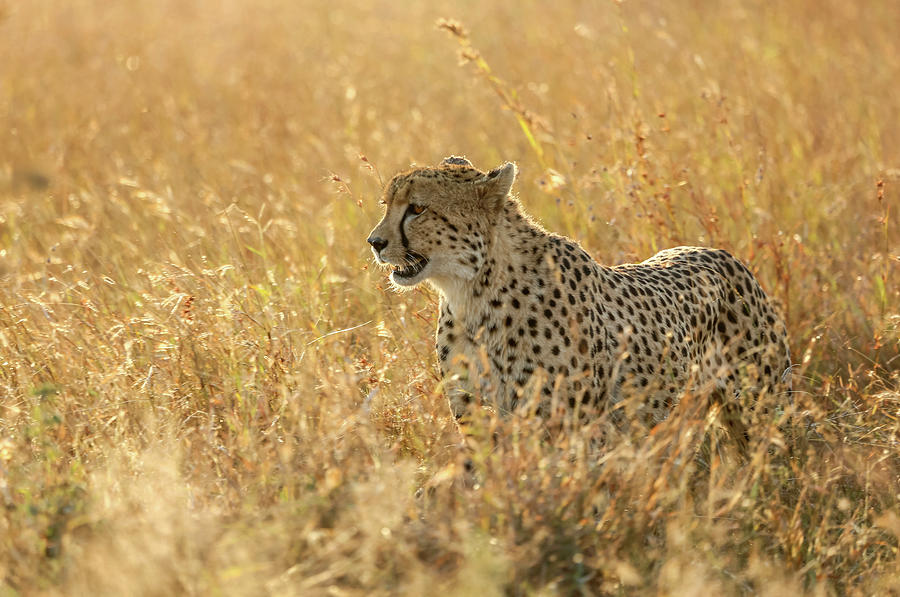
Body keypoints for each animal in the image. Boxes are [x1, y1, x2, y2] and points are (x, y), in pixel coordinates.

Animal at [366, 157, 788, 428]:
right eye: (386, 204)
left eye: (417, 208)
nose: (375, 242)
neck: (475, 293)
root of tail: (719, 252)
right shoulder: (476, 415)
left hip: (764, 407)